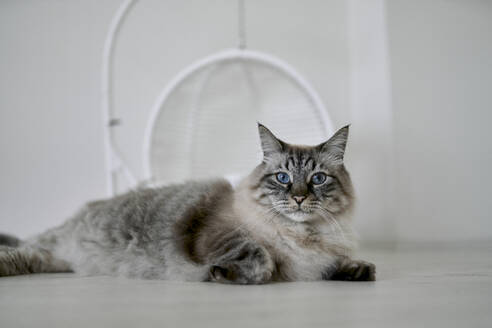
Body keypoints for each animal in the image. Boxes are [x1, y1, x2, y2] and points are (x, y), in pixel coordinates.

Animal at [0, 124, 374, 284]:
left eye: (317, 179)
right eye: (282, 178)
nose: (298, 197)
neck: (303, 237)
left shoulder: (315, 261)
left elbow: (345, 265)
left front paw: (357, 270)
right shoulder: (219, 235)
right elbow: (261, 259)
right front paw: (224, 275)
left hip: (49, 259)